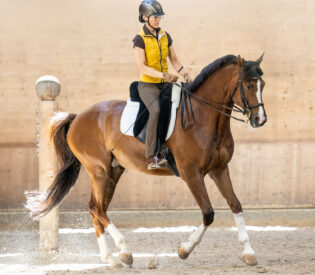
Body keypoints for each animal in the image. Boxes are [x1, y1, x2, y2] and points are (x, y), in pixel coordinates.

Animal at [24, 53, 268, 268]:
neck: (204, 118)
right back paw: (124, 252)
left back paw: (111, 259)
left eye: (262, 85)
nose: (260, 120)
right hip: (99, 170)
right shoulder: (191, 173)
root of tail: (77, 118)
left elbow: (235, 204)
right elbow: (208, 213)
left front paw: (249, 253)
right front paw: (184, 249)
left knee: (96, 209)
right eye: (248, 85)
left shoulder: (220, 169)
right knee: (98, 209)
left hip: (113, 172)